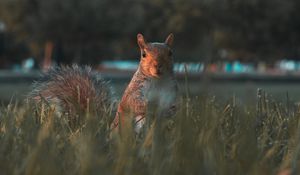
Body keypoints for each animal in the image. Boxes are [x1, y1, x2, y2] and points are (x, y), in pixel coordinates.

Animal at [28, 33, 178, 133]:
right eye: (144, 54)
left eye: (170, 53)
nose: (158, 66)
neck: (158, 80)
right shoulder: (135, 89)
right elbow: (134, 103)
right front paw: (152, 106)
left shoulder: (171, 91)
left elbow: (172, 105)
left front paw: (170, 110)